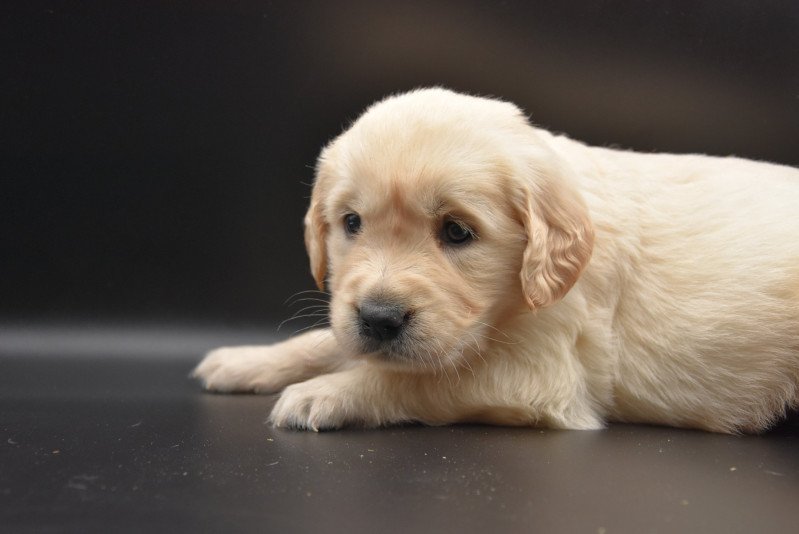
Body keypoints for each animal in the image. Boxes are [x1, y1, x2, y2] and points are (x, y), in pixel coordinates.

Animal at [195, 86, 799, 434]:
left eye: (457, 232)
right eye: (351, 223)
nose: (380, 319)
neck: (509, 304)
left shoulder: (541, 375)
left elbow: (414, 380)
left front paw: (324, 393)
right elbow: (328, 340)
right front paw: (246, 360)